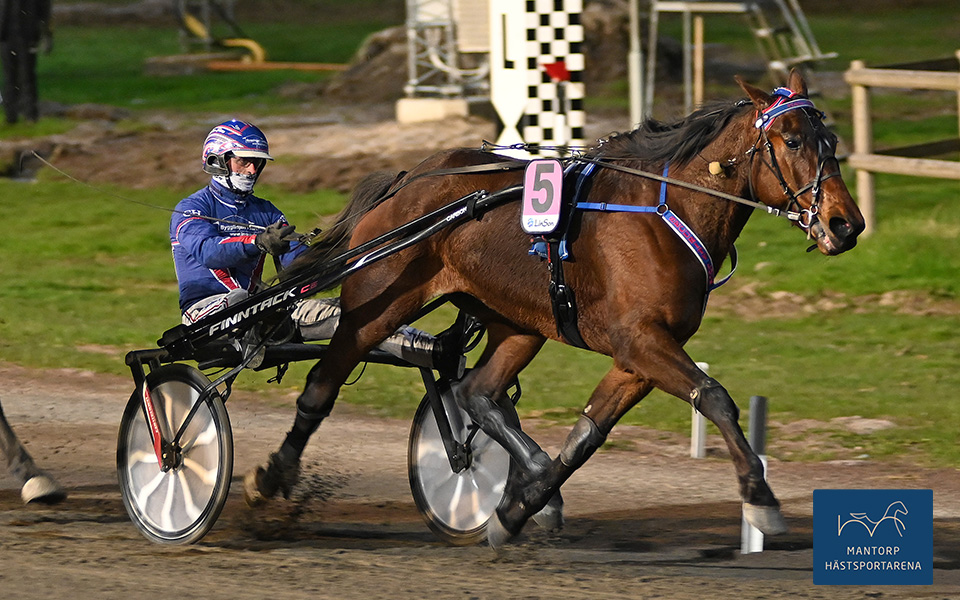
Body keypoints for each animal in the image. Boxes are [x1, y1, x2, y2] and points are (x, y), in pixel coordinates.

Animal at [244, 70, 868, 548]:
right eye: (792, 141)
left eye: (830, 139)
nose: (846, 224)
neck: (664, 210)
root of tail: (407, 178)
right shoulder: (640, 339)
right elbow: (714, 397)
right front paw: (761, 500)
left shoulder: (637, 358)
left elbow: (587, 435)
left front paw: (518, 508)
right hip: (378, 304)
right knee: (322, 385)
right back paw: (270, 478)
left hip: (518, 322)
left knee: (476, 393)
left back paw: (526, 475)